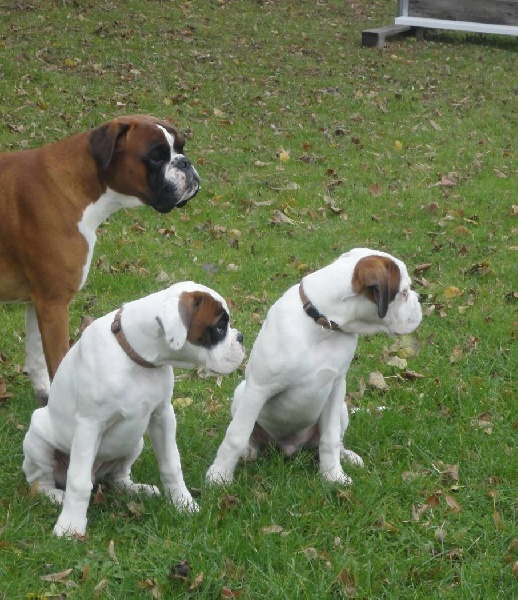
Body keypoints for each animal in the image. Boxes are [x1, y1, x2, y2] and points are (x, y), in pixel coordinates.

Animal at [0, 113, 201, 404]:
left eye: (181, 148)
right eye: (155, 156)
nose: (185, 162)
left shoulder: (38, 301)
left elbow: (36, 356)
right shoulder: (54, 304)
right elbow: (58, 361)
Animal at [22, 282, 246, 540]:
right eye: (219, 327)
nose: (241, 337)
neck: (136, 357)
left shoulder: (162, 417)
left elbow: (171, 465)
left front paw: (183, 503)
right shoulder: (89, 426)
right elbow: (78, 481)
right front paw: (70, 526)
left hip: (133, 442)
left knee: (118, 477)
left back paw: (138, 489)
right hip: (39, 440)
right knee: (41, 482)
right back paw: (55, 496)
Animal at [206, 248, 422, 488]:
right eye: (404, 293)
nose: (420, 299)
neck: (323, 325)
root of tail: (288, 447)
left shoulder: (336, 387)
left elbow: (330, 438)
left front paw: (333, 475)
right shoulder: (259, 388)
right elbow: (236, 435)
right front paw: (219, 476)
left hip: (341, 408)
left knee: (333, 440)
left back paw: (347, 456)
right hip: (241, 393)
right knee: (250, 435)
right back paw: (249, 451)